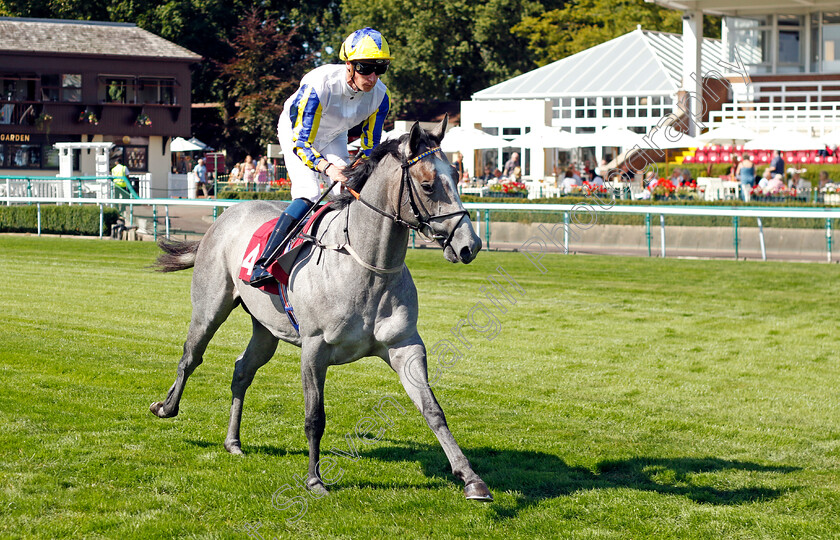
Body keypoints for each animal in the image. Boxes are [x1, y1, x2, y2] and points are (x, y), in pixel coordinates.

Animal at [150, 118, 492, 502]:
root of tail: (226, 215)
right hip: (211, 307)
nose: (470, 245)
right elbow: (315, 416)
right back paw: (166, 406)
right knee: (191, 356)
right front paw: (314, 479)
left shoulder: (405, 346)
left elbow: (433, 409)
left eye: (458, 176)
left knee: (242, 370)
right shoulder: (314, 349)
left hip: (267, 329)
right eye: (428, 184)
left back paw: (233, 441)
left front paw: (470, 478)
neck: (367, 268)